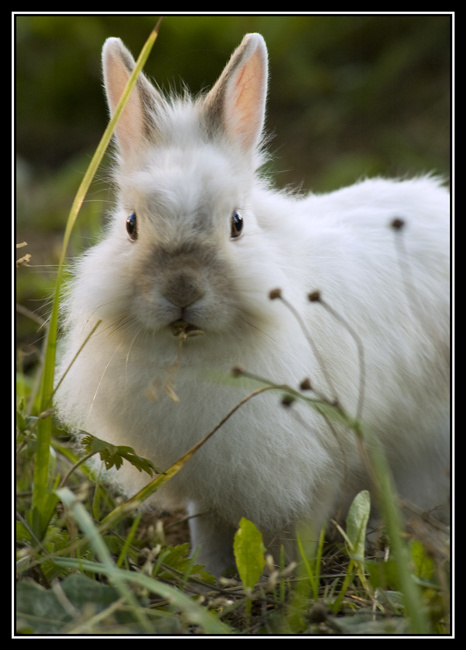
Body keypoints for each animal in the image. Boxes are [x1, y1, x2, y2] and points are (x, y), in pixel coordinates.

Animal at [55, 33, 450, 577]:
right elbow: (207, 526)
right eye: (131, 225)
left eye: (237, 223)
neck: (193, 358)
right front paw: (209, 571)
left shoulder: (319, 465)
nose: (182, 292)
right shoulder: (204, 473)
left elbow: (299, 533)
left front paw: (291, 581)